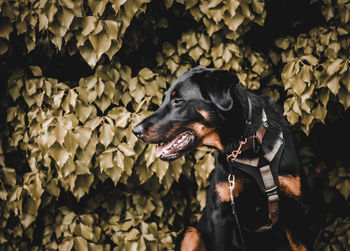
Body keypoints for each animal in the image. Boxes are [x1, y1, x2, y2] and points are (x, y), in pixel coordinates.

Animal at [133, 65, 312, 250]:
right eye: (164, 100)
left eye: (178, 101)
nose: (135, 130)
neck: (248, 146)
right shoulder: (222, 216)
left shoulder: (295, 210)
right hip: (190, 233)